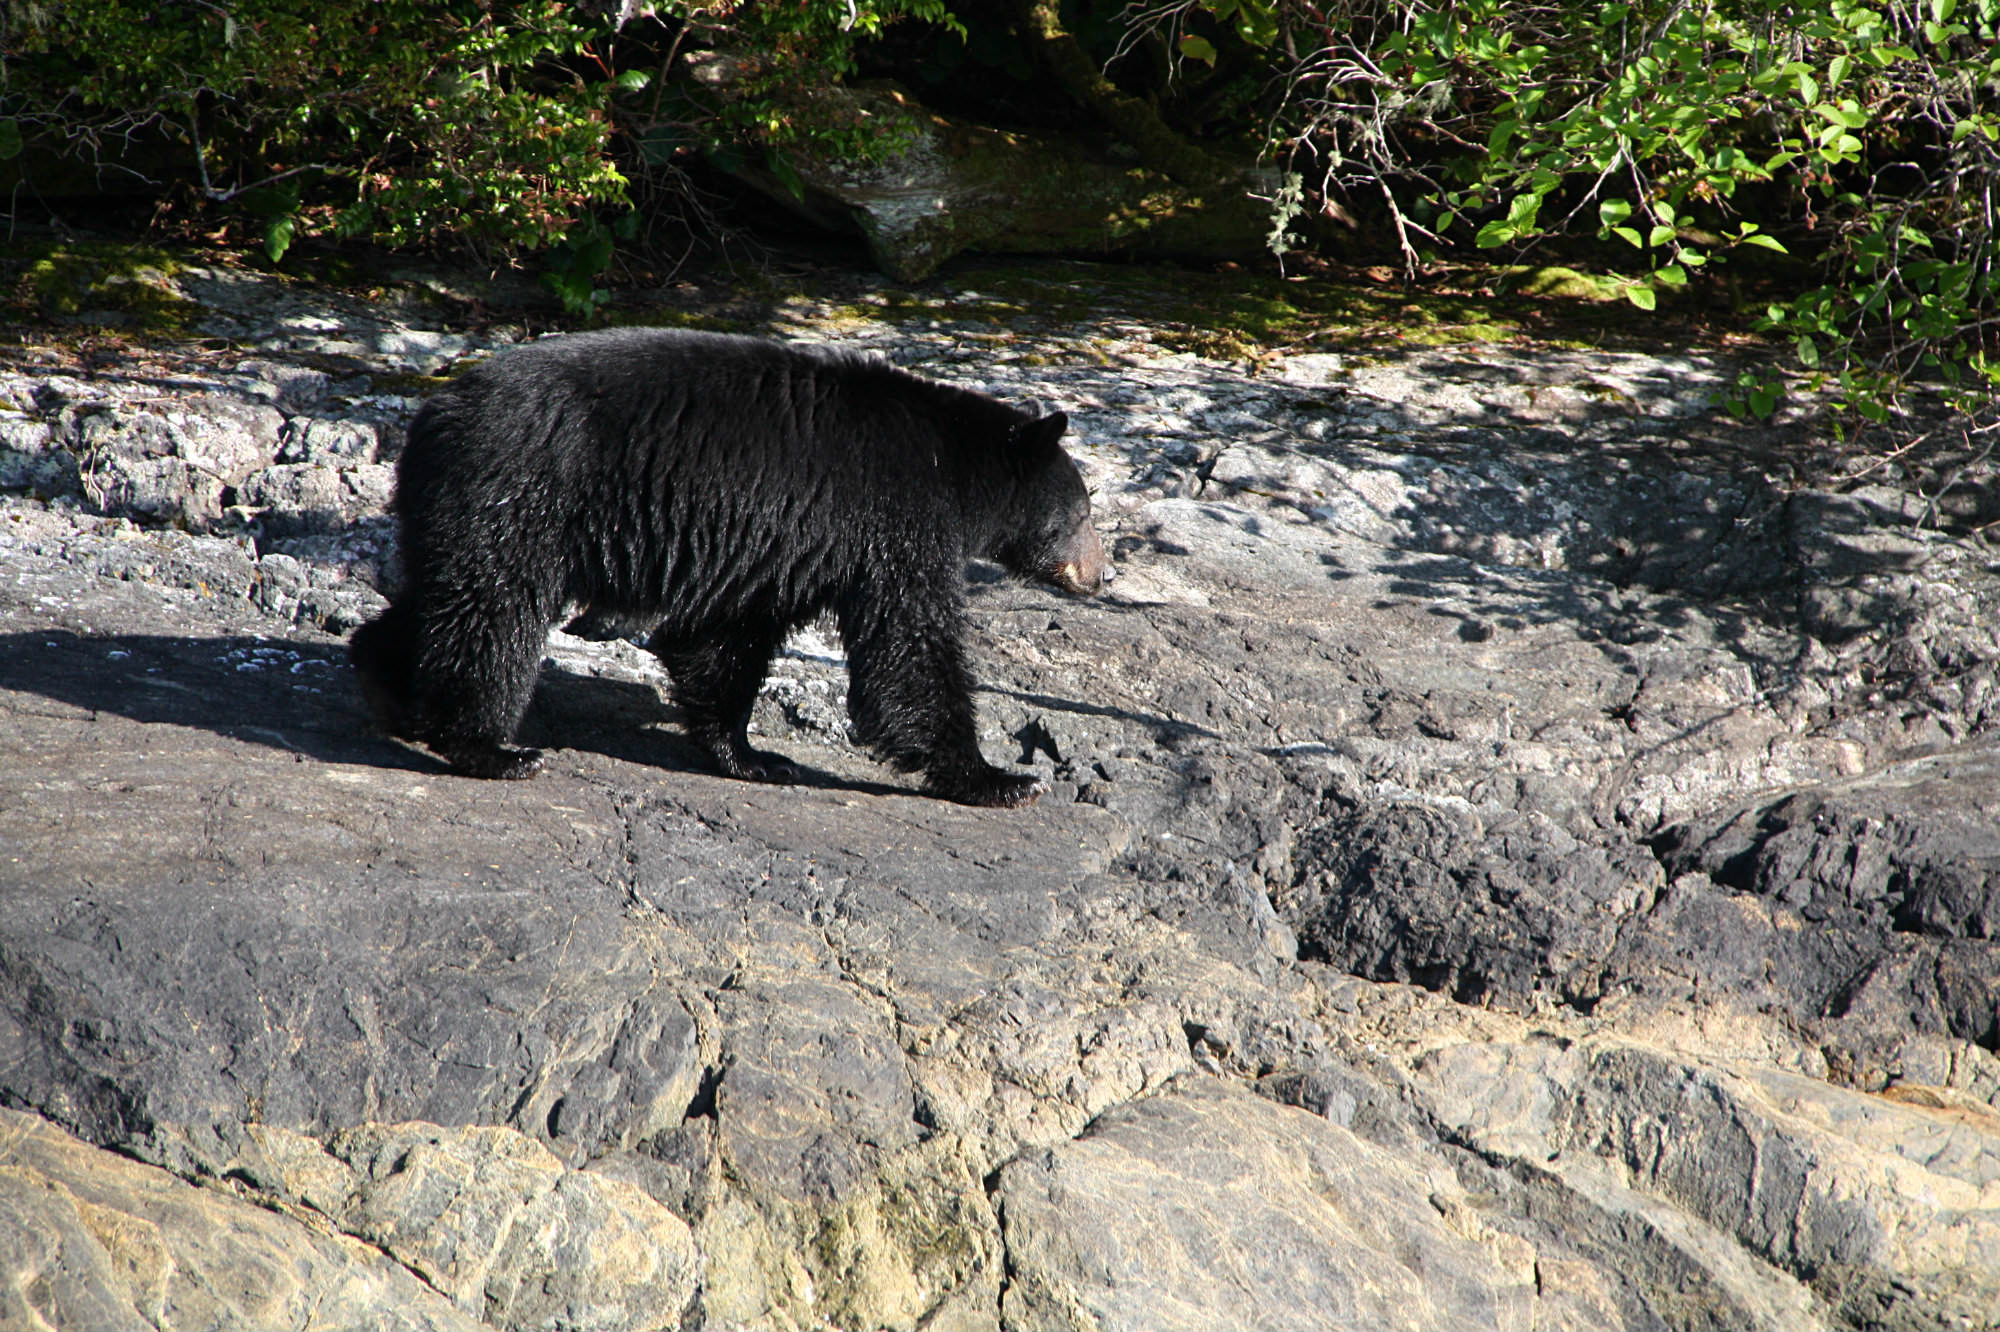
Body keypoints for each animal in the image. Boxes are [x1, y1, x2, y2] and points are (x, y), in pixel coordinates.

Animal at [360, 326, 1112, 804]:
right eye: (1082, 513)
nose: (1101, 575)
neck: (950, 464)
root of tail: (432, 413)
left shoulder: (781, 543)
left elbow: (724, 637)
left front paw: (753, 756)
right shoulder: (895, 519)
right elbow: (909, 647)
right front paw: (999, 779)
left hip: (464, 507)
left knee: (446, 597)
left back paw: (387, 682)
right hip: (522, 492)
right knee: (497, 613)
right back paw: (492, 748)